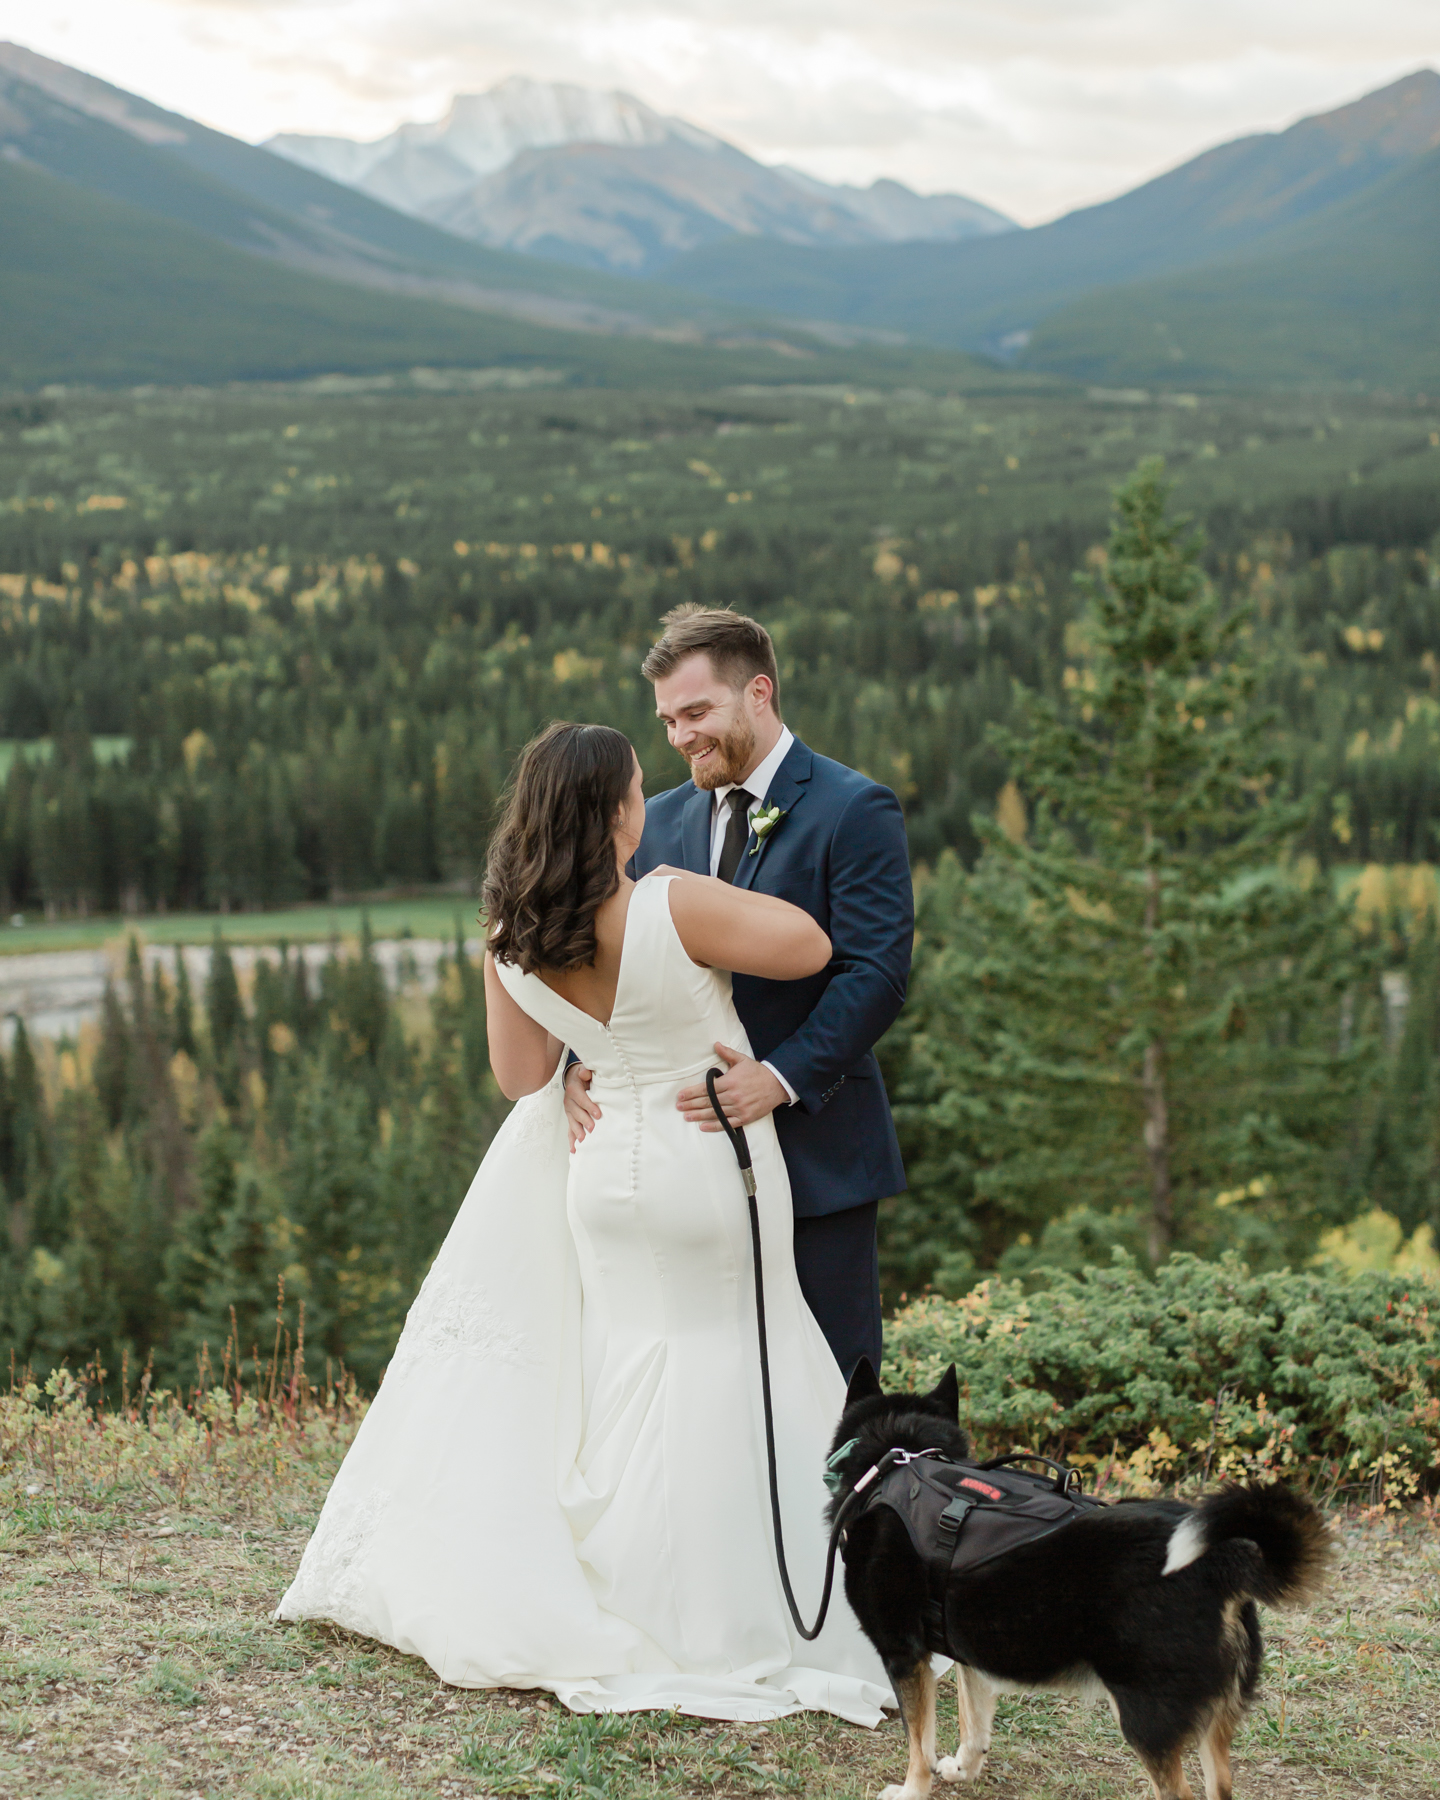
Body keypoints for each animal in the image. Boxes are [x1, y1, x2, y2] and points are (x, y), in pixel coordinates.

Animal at [828, 1360, 1332, 1800]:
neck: (897, 1460)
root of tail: (1222, 1559)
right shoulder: (968, 1648)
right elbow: (975, 1722)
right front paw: (962, 1769)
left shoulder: (903, 1654)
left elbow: (919, 1743)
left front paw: (912, 1790)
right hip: (1214, 1722)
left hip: (1147, 1716)